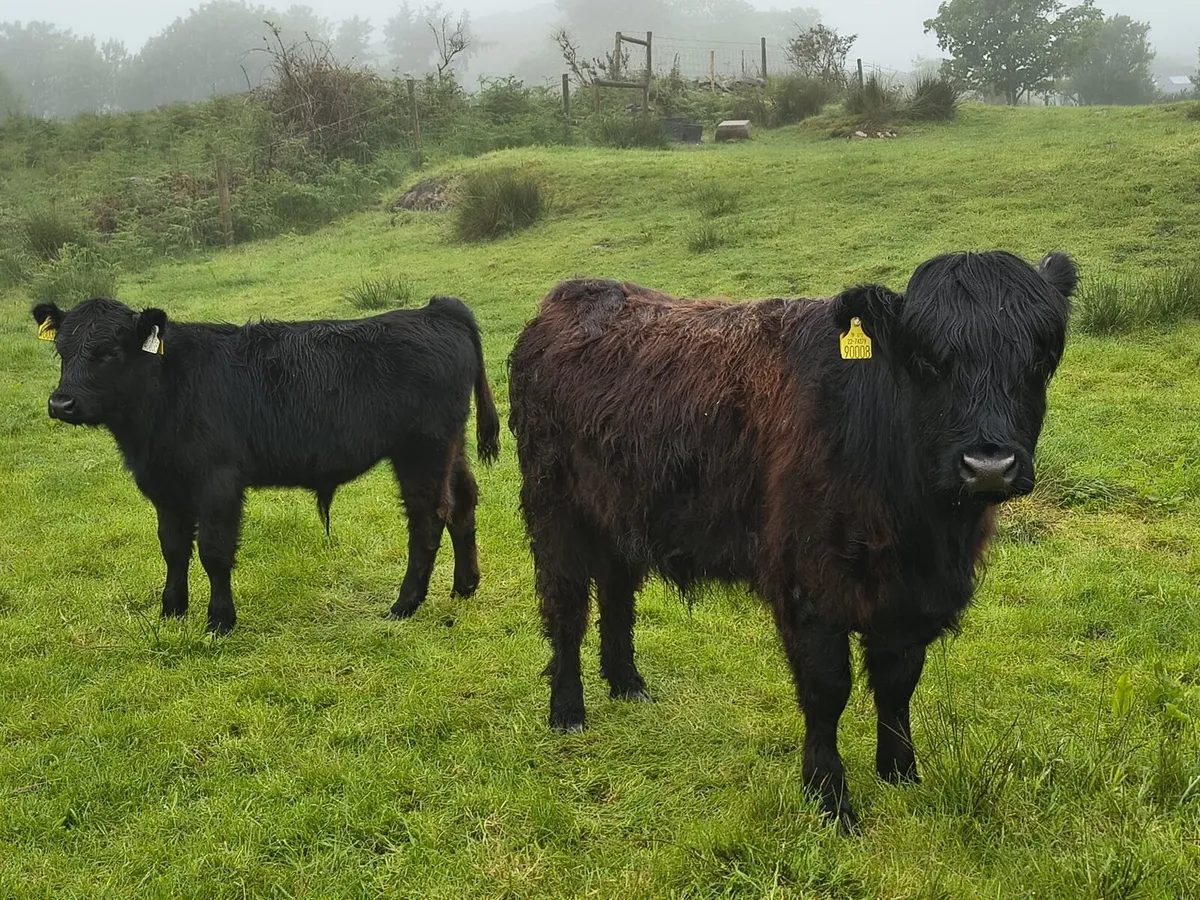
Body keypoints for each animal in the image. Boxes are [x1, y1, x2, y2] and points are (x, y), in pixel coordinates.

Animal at [33, 295, 500, 634]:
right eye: (61, 350)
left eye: (109, 352)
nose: (61, 403)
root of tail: (436, 309)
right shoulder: (164, 486)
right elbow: (173, 548)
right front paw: (172, 611)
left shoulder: (218, 481)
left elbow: (214, 551)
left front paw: (219, 620)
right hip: (450, 447)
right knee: (463, 504)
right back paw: (464, 585)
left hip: (421, 451)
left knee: (428, 519)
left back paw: (404, 604)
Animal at [507, 251, 1076, 833]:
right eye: (926, 360)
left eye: (1041, 357)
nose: (988, 465)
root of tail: (570, 296)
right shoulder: (809, 587)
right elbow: (827, 690)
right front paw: (829, 796)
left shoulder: (909, 599)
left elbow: (898, 684)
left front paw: (900, 773)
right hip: (554, 511)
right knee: (567, 608)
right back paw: (567, 710)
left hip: (618, 519)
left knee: (617, 597)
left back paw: (627, 684)